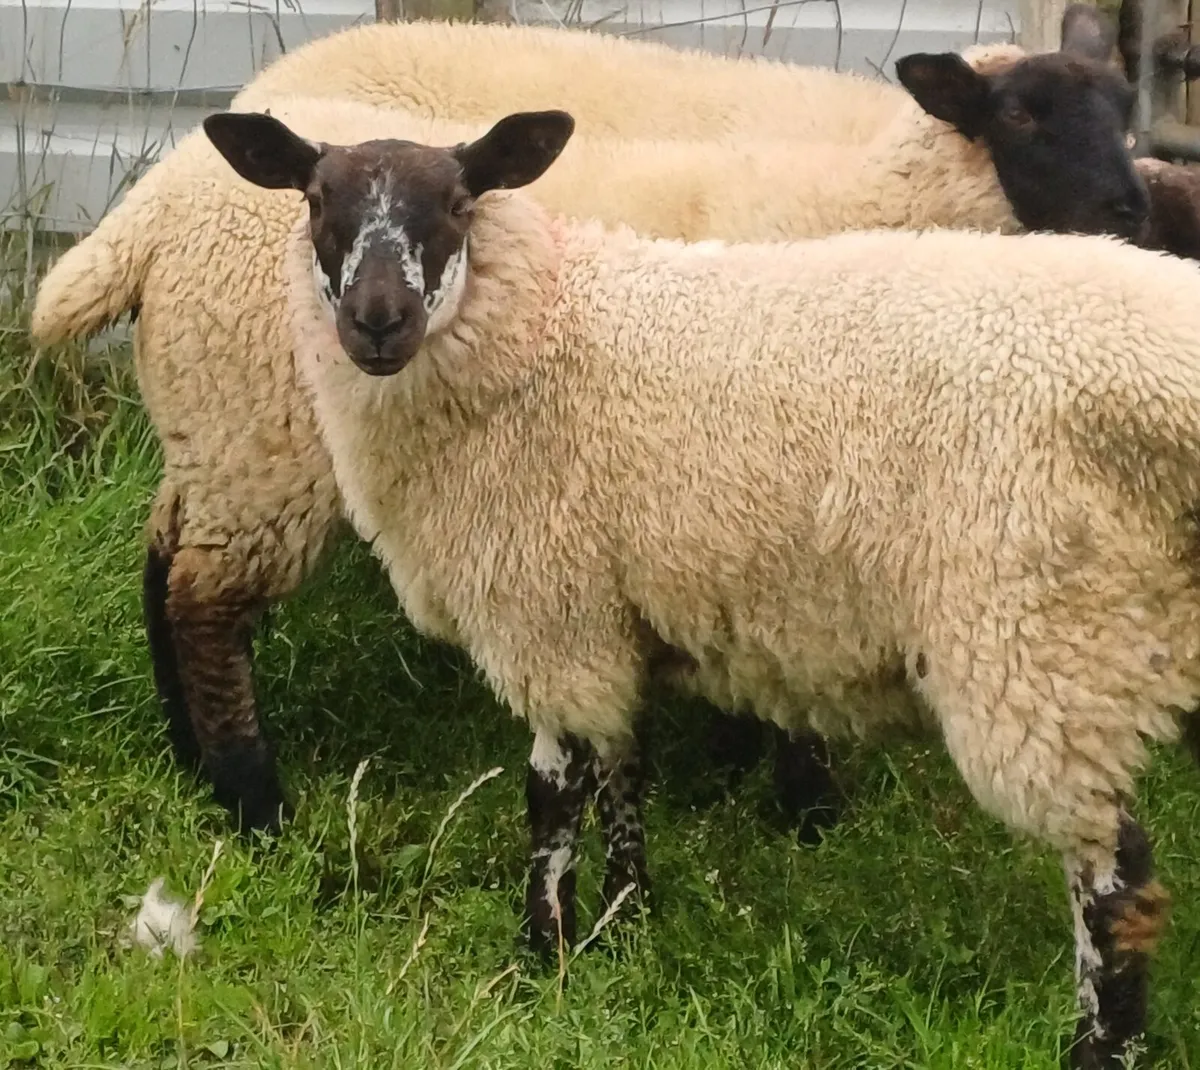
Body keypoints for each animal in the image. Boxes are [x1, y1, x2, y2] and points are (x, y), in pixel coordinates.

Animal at [28, 23, 1152, 838]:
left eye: (1126, 111)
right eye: (1019, 112)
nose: (1130, 209)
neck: (865, 195)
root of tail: (146, 216)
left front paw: (736, 766)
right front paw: (804, 810)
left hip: (213, 422)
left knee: (162, 560)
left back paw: (186, 753)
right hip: (262, 437)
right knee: (205, 601)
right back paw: (251, 800)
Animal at [204, 104, 1200, 1069]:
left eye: (457, 202)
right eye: (315, 201)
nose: (378, 320)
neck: (545, 326)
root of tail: (1169, 374)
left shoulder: (551, 608)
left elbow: (551, 796)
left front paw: (541, 954)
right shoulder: (611, 609)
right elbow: (623, 769)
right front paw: (624, 920)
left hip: (1043, 632)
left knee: (1115, 874)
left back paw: (1101, 1049)